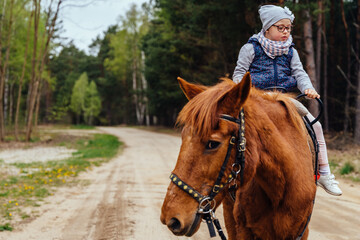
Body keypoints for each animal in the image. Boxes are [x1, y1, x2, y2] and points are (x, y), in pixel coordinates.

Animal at [160, 73, 316, 240]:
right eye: (183, 136)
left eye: (212, 143)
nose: (171, 218)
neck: (281, 191)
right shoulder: (243, 230)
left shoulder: (301, 232)